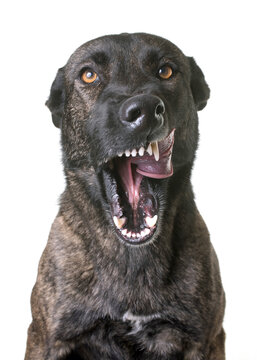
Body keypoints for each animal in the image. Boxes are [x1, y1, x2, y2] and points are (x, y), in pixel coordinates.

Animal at [24, 32, 224, 358]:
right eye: (89, 75)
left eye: (166, 71)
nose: (142, 110)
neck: (132, 259)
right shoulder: (46, 340)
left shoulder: (205, 340)